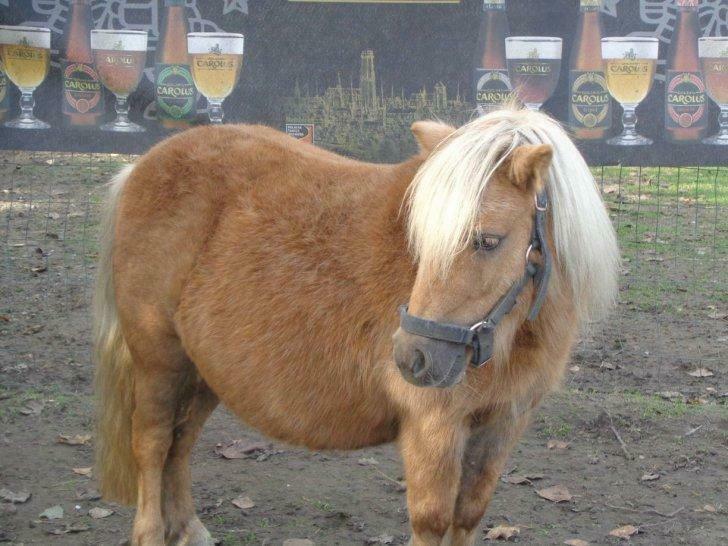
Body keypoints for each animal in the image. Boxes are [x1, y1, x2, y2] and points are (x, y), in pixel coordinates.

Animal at [93, 107, 619, 546]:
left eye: (488, 241)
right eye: (420, 238)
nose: (413, 357)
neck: (508, 341)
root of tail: (141, 166)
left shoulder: (502, 424)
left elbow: (468, 516)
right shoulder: (433, 429)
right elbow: (433, 522)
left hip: (203, 371)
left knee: (179, 445)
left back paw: (188, 529)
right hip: (159, 360)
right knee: (153, 443)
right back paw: (151, 533)